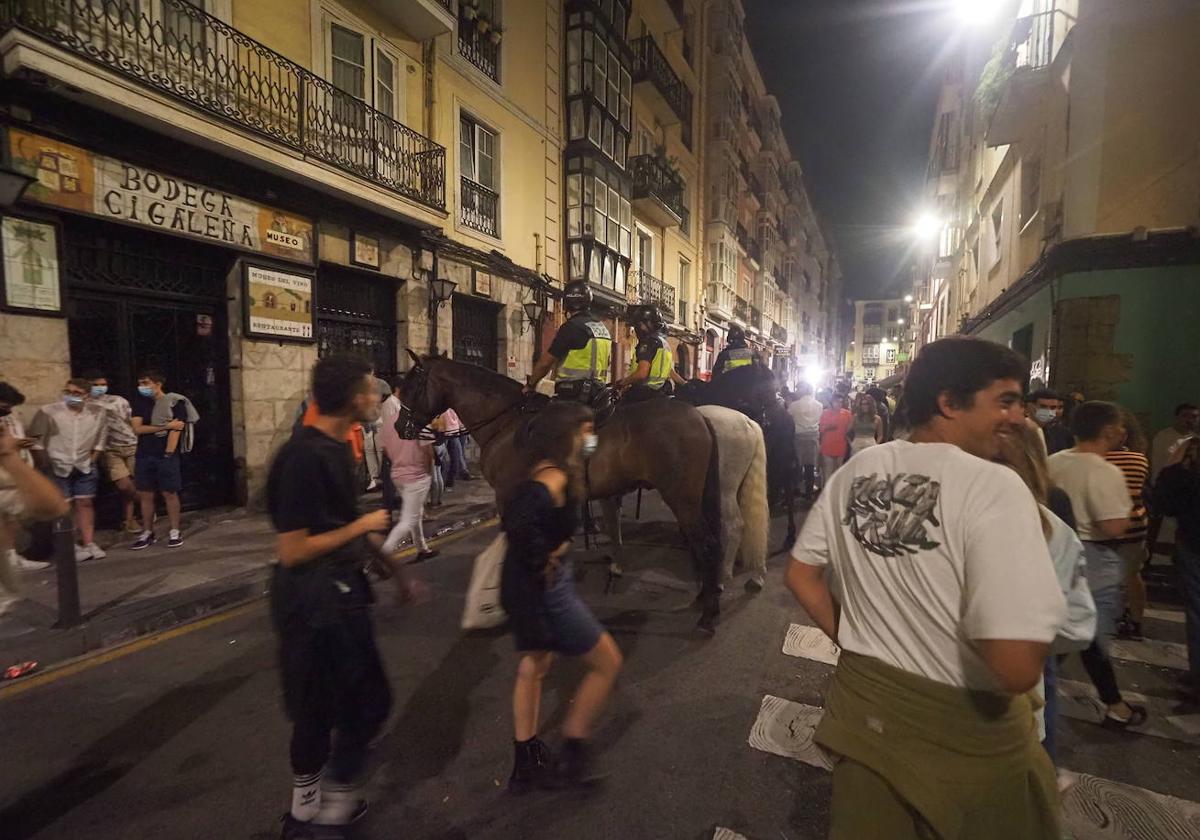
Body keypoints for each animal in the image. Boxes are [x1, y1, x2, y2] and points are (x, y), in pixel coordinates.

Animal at [393, 352, 720, 628]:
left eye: (410, 387)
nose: (398, 427)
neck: (506, 423)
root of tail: (699, 416)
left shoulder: (508, 495)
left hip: (682, 498)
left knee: (704, 543)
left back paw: (708, 611)